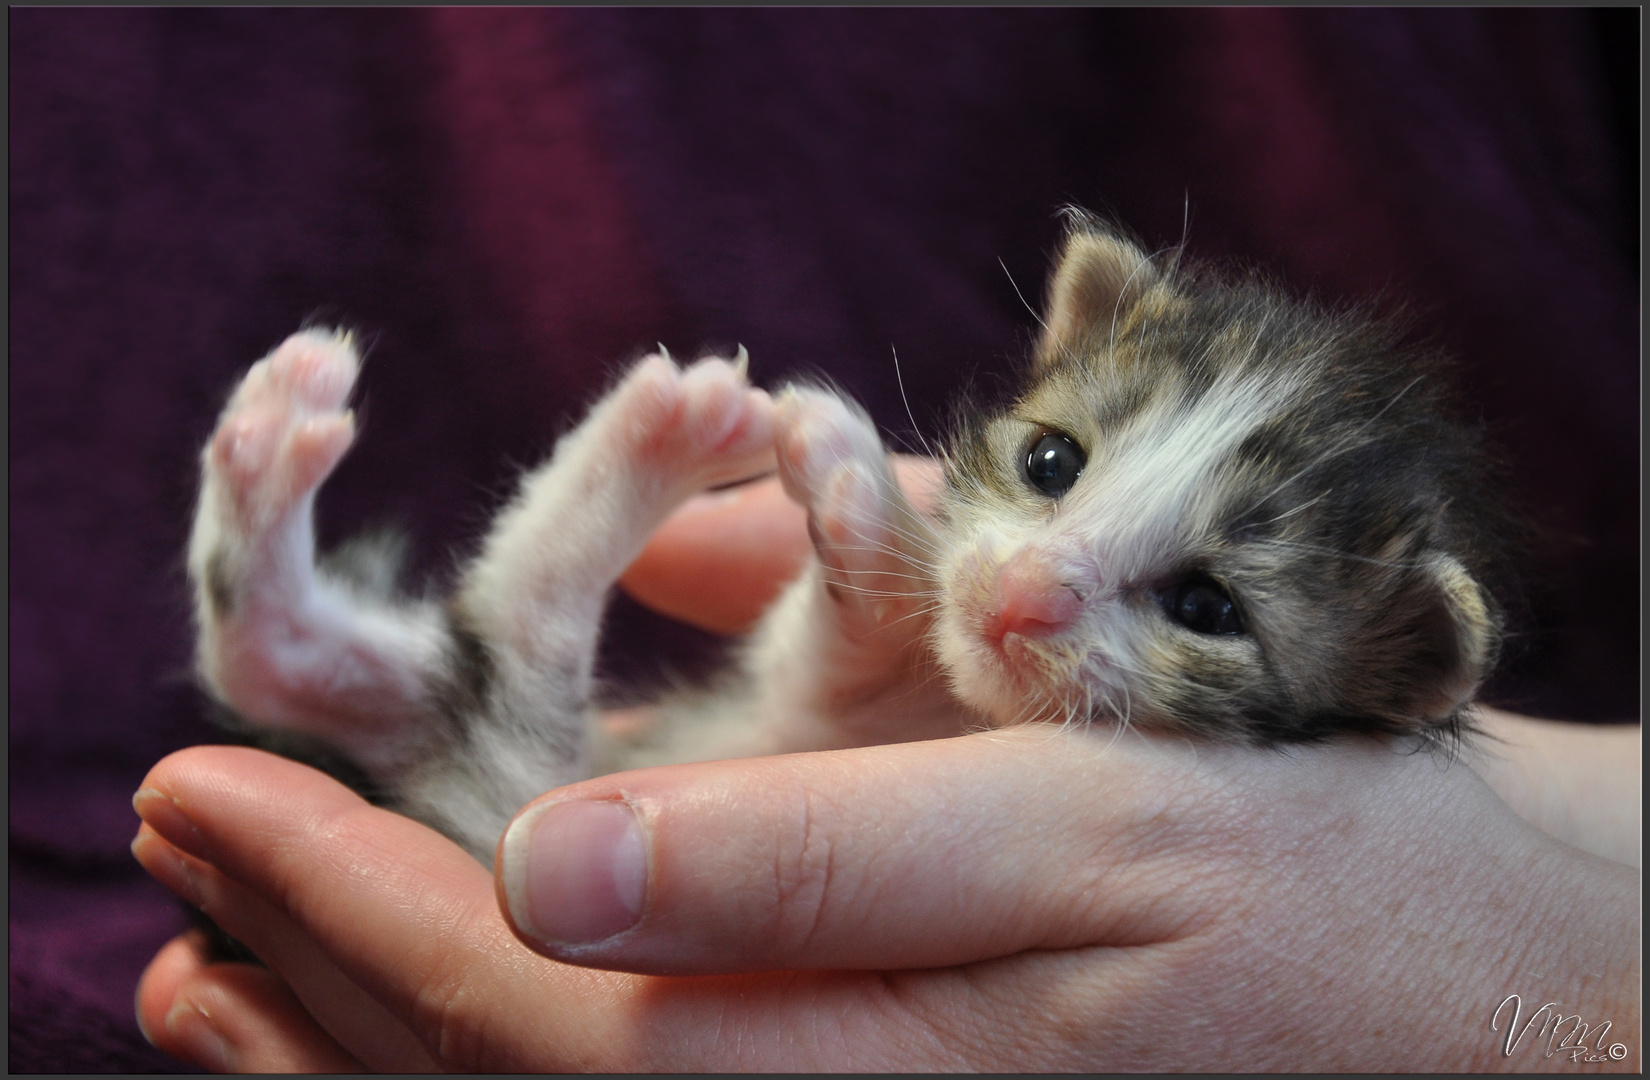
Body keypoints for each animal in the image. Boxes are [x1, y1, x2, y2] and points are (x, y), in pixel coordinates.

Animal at [189, 216, 1511, 864]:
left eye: (1207, 609)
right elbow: (828, 655)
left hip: (531, 772)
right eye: (1051, 463)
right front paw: (865, 512)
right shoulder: (798, 712)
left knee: (501, 647)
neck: (946, 709)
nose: (1020, 595)